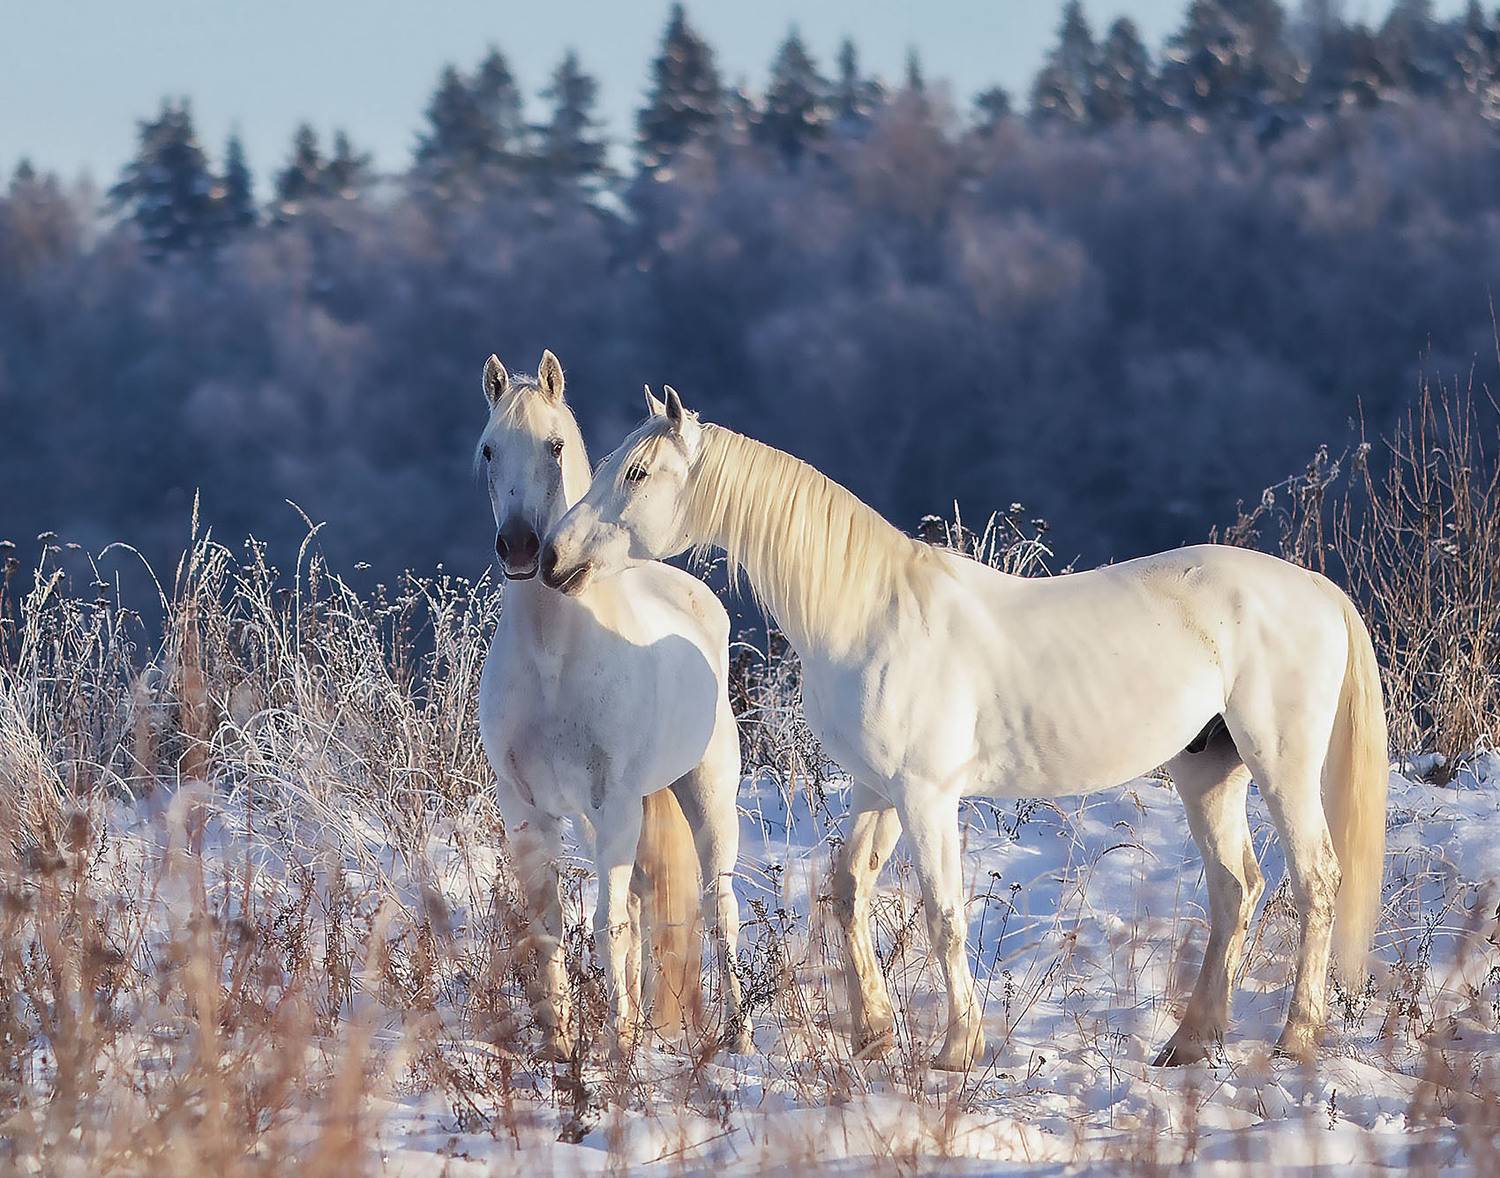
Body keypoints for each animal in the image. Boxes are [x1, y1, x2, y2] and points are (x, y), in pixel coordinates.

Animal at [474, 354, 750, 1059]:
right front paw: (561, 1044)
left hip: (703, 795)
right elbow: (548, 925)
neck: (554, 657)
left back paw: (736, 1032)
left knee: (718, 904)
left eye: (554, 444)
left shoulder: (616, 802)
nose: (522, 548)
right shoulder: (528, 811)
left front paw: (620, 1052)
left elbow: (609, 926)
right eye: (488, 448)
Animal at [540, 385, 1388, 1071]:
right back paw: (1189, 1043)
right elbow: (849, 891)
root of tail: (1317, 590)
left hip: (1281, 766)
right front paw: (874, 1035)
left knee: (1315, 881)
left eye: (636, 474)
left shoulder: (926, 795)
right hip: (1209, 771)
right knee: (1235, 889)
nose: (551, 559)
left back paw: (1297, 1038)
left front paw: (955, 1049)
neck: (869, 614)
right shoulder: (878, 789)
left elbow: (944, 914)